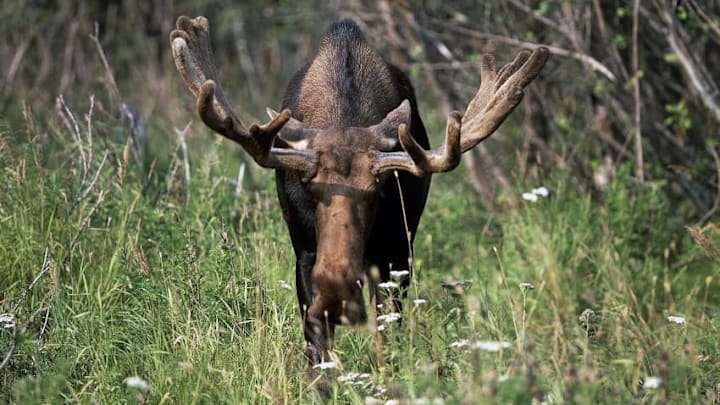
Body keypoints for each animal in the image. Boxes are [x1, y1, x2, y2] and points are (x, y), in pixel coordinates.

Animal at [170, 16, 547, 370]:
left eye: (378, 191)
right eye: (309, 186)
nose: (336, 289)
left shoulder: (396, 254)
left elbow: (386, 336)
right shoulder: (304, 251)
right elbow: (317, 347)